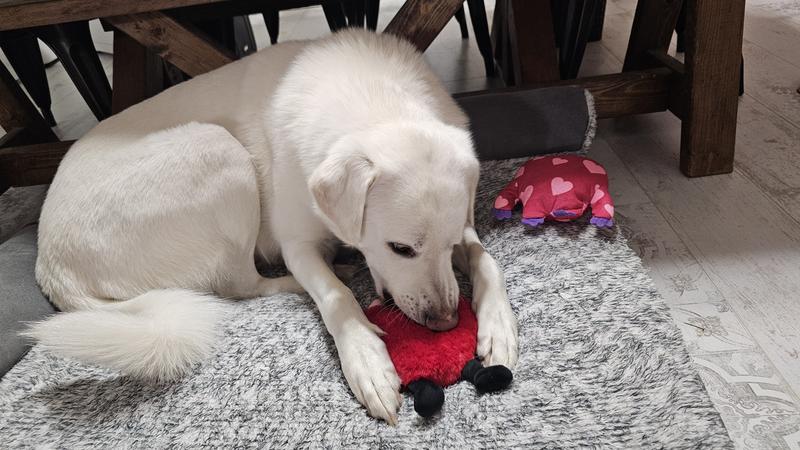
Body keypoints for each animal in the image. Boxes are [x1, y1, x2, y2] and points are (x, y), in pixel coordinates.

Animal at [28, 30, 518, 424]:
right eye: (399, 248)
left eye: (448, 245)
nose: (445, 323)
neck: (377, 98)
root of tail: (51, 264)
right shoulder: (298, 244)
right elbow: (335, 298)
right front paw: (365, 356)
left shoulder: (465, 234)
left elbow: (486, 259)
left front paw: (497, 326)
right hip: (217, 149)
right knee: (240, 283)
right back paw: (319, 275)